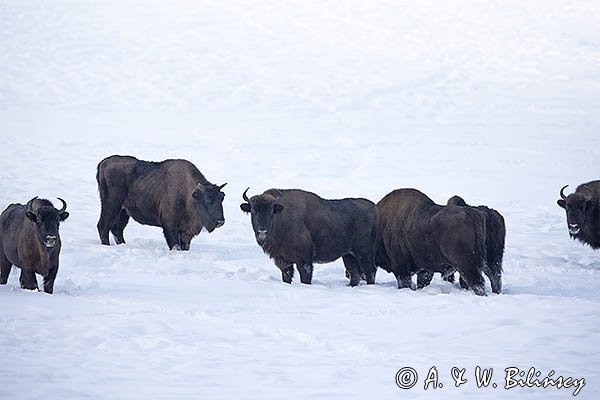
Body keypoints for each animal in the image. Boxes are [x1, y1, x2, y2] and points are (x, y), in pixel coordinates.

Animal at [96, 154, 227, 250]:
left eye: (222, 197)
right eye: (208, 199)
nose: (220, 221)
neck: (190, 195)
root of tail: (104, 163)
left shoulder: (186, 232)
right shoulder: (169, 225)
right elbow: (175, 245)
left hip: (124, 211)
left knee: (117, 229)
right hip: (111, 206)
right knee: (103, 226)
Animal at [239, 188, 376, 286]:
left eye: (271, 211)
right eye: (253, 211)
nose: (262, 231)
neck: (281, 217)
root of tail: (373, 207)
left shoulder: (304, 259)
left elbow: (305, 276)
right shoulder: (283, 260)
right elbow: (287, 275)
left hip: (363, 253)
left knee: (370, 271)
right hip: (348, 255)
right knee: (355, 273)